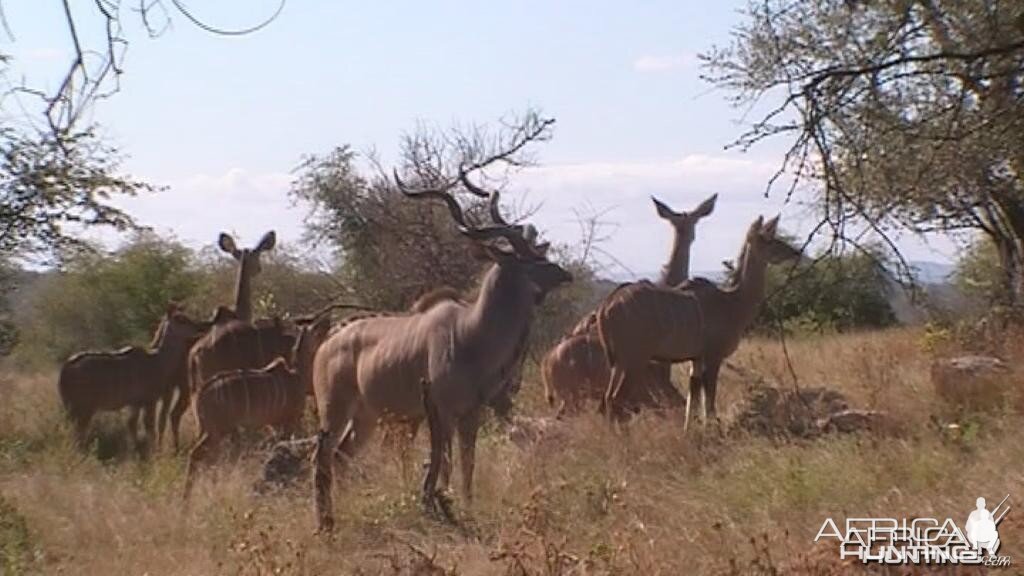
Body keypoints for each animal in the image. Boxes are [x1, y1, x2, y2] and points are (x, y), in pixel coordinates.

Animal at [307, 170, 573, 528]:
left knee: (340, 457)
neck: (470, 332)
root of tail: (327, 343)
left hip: (367, 416)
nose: (565, 273)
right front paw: (446, 506)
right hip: (334, 410)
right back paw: (325, 523)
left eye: (539, 253)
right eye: (525, 259)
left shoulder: (471, 413)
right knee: (320, 456)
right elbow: (445, 463)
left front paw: (467, 509)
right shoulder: (443, 411)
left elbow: (467, 464)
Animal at [598, 215, 802, 426]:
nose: (796, 252)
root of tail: (606, 307)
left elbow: (692, 402)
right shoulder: (713, 356)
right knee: (617, 400)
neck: (733, 303)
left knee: (608, 399)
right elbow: (709, 404)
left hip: (619, 362)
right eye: (766, 239)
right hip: (635, 359)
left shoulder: (696, 359)